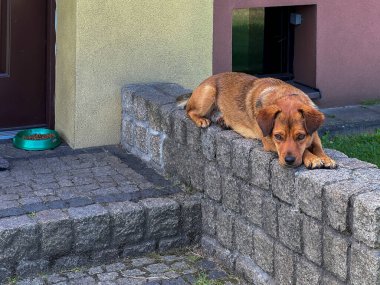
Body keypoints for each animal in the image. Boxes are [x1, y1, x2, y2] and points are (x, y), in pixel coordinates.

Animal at [184, 71, 336, 169]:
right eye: (278, 137)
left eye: (301, 136)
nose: (289, 161)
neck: (286, 95)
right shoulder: (269, 142)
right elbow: (304, 151)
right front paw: (312, 158)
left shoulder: (314, 134)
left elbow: (318, 146)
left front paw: (325, 157)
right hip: (209, 93)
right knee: (189, 111)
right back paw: (201, 120)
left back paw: (223, 121)